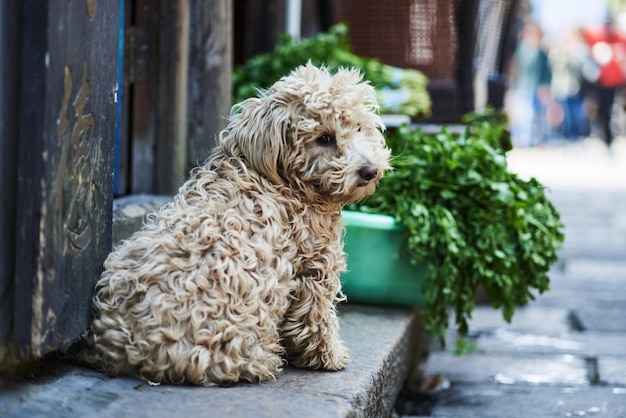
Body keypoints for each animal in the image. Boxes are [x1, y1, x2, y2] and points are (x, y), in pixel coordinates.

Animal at [80, 63, 388, 386]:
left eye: (358, 127)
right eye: (325, 138)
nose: (370, 170)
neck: (277, 180)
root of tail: (134, 350)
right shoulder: (315, 267)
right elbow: (316, 318)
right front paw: (330, 357)